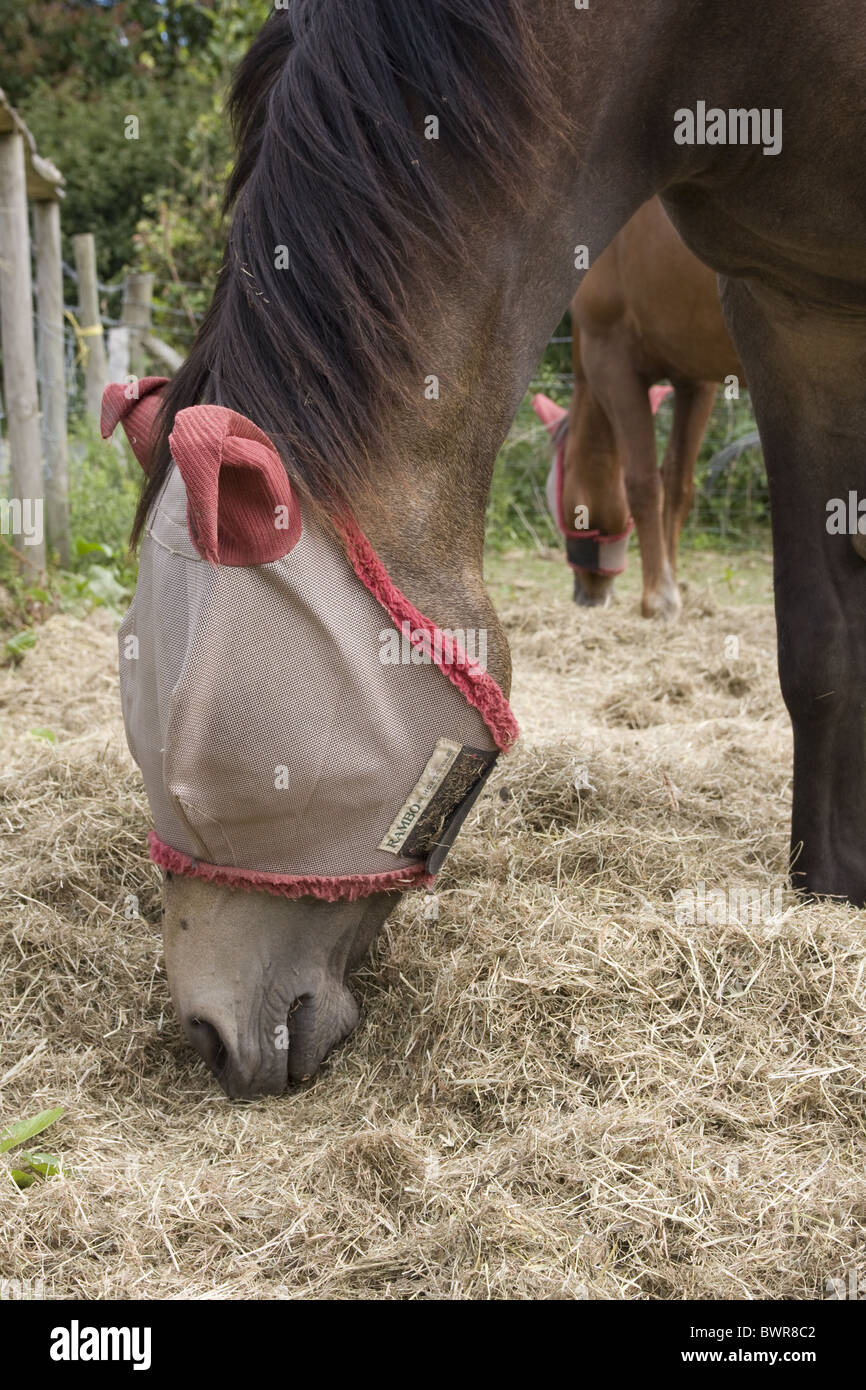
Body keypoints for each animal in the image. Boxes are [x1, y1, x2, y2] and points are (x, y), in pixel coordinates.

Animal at [533, 197, 744, 619]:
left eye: (558, 502)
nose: (584, 594)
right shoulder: (696, 380)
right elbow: (676, 482)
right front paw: (670, 579)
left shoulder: (612, 362)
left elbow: (642, 482)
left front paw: (657, 598)